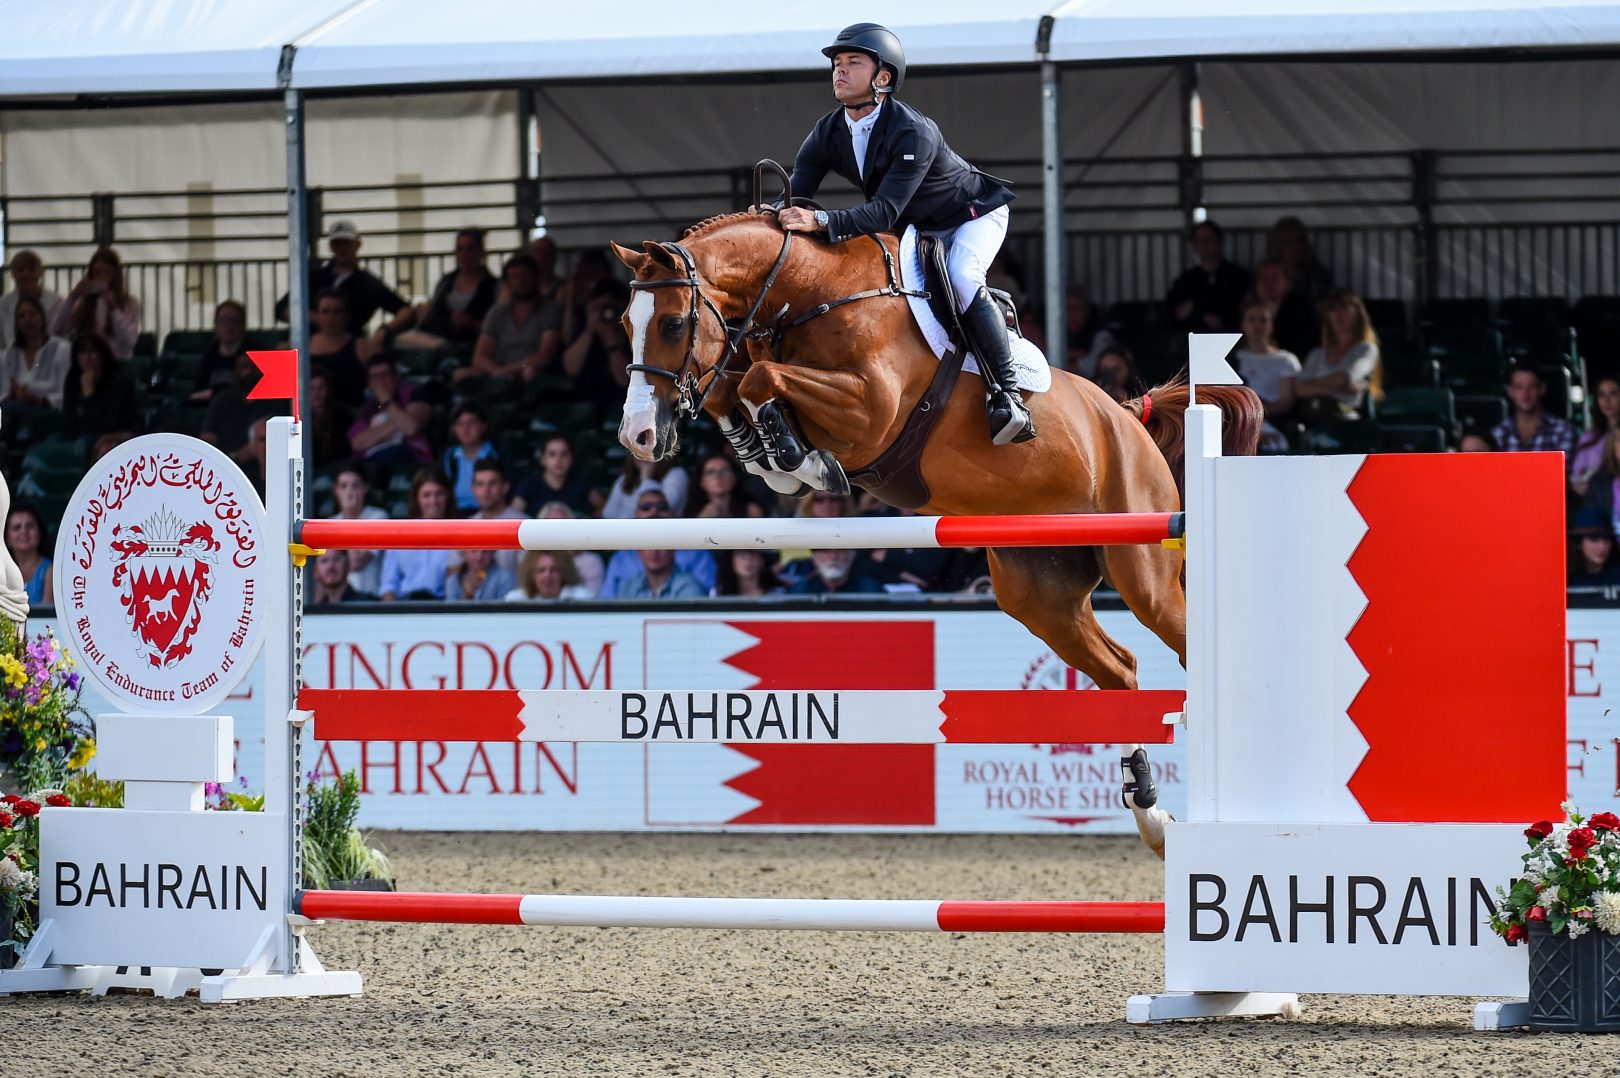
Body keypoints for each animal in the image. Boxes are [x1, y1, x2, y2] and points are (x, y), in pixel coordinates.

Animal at [611, 208, 1262, 855]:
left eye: (672, 322)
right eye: (625, 323)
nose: (638, 437)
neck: (814, 292)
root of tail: (1128, 420)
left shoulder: (870, 410)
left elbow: (759, 379)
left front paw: (798, 459)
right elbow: (733, 386)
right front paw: (769, 455)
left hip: (1142, 569)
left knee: (1175, 639)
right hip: (1040, 595)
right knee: (1119, 670)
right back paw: (1152, 816)